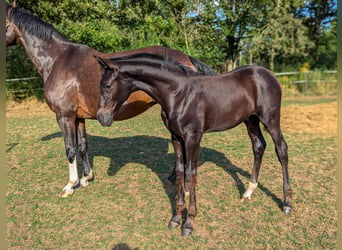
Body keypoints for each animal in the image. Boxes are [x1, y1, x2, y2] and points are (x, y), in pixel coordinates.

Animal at [5, 2, 214, 196]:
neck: (58, 60)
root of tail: (187, 59)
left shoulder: (64, 116)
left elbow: (70, 149)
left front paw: (70, 186)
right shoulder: (78, 117)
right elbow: (83, 146)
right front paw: (86, 178)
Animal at [93, 54, 292, 236]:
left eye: (108, 85)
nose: (102, 118)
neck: (178, 93)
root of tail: (268, 74)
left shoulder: (193, 138)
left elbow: (191, 176)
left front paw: (189, 222)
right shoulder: (176, 138)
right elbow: (180, 173)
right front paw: (176, 218)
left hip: (270, 119)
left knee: (281, 150)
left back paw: (287, 203)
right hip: (250, 120)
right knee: (259, 146)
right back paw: (248, 191)